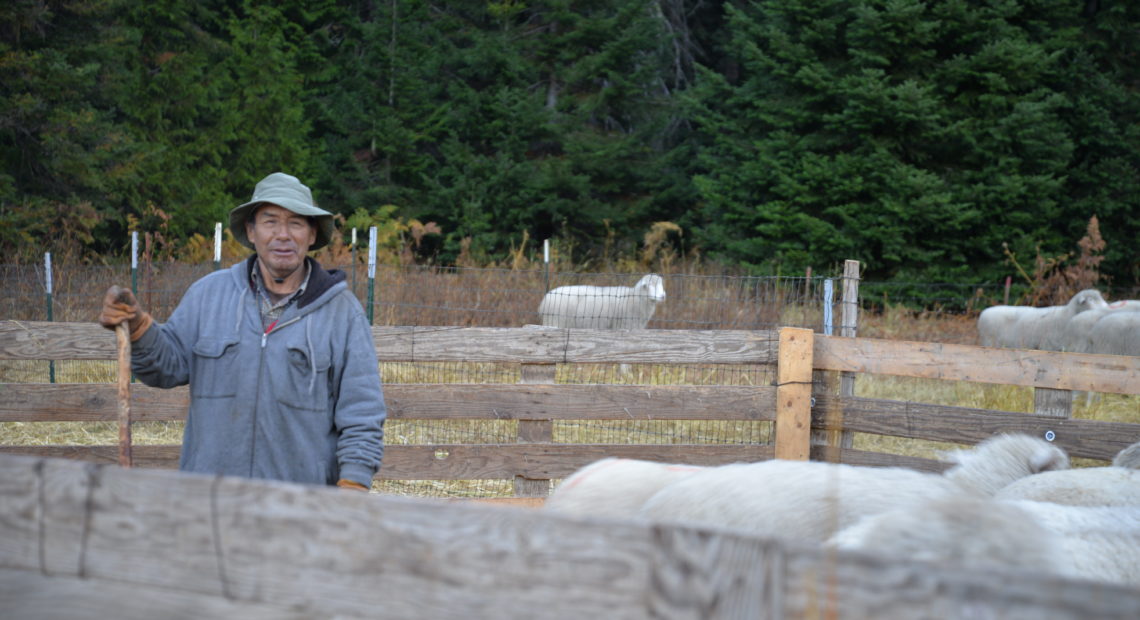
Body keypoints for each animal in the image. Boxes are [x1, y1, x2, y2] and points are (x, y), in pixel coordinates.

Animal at [535, 272, 665, 328]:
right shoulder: (624, 326)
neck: (634, 297)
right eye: (649, 285)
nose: (663, 296)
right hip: (554, 321)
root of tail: (545, 299)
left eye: (661, 285)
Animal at [975, 289, 1108, 351]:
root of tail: (984, 313)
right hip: (990, 343)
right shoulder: (1047, 347)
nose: (1108, 308)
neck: (1067, 315)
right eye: (1090, 300)